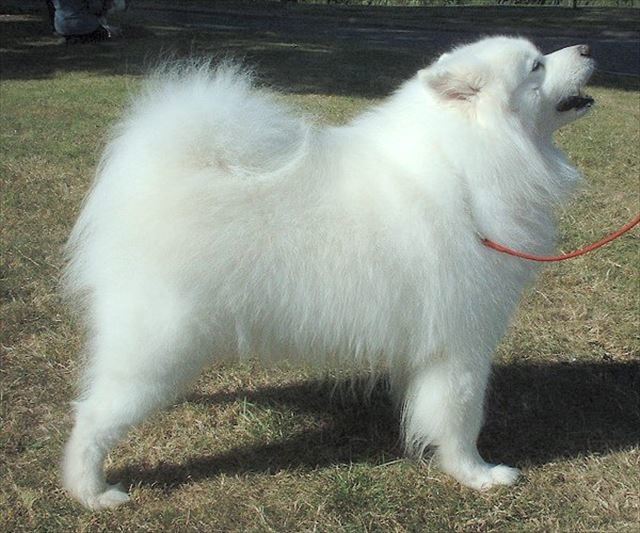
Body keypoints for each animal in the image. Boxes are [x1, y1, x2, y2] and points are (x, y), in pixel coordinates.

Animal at [61, 35, 596, 510]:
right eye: (535, 67)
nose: (588, 48)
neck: (466, 163)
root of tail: (156, 174)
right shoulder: (462, 344)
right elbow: (462, 418)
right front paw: (478, 475)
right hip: (158, 344)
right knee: (90, 417)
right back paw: (92, 493)